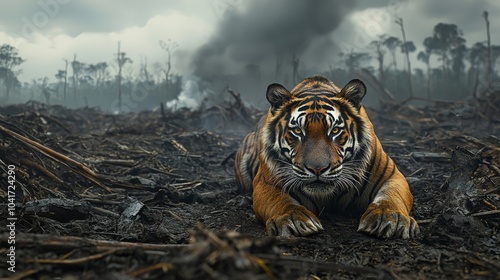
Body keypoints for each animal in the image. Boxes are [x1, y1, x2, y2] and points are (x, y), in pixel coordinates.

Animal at [233, 75, 418, 238]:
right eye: (297, 131)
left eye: (335, 131)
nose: (317, 169)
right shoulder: (266, 183)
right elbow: (280, 201)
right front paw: (293, 219)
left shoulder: (392, 176)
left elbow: (390, 197)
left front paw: (390, 218)